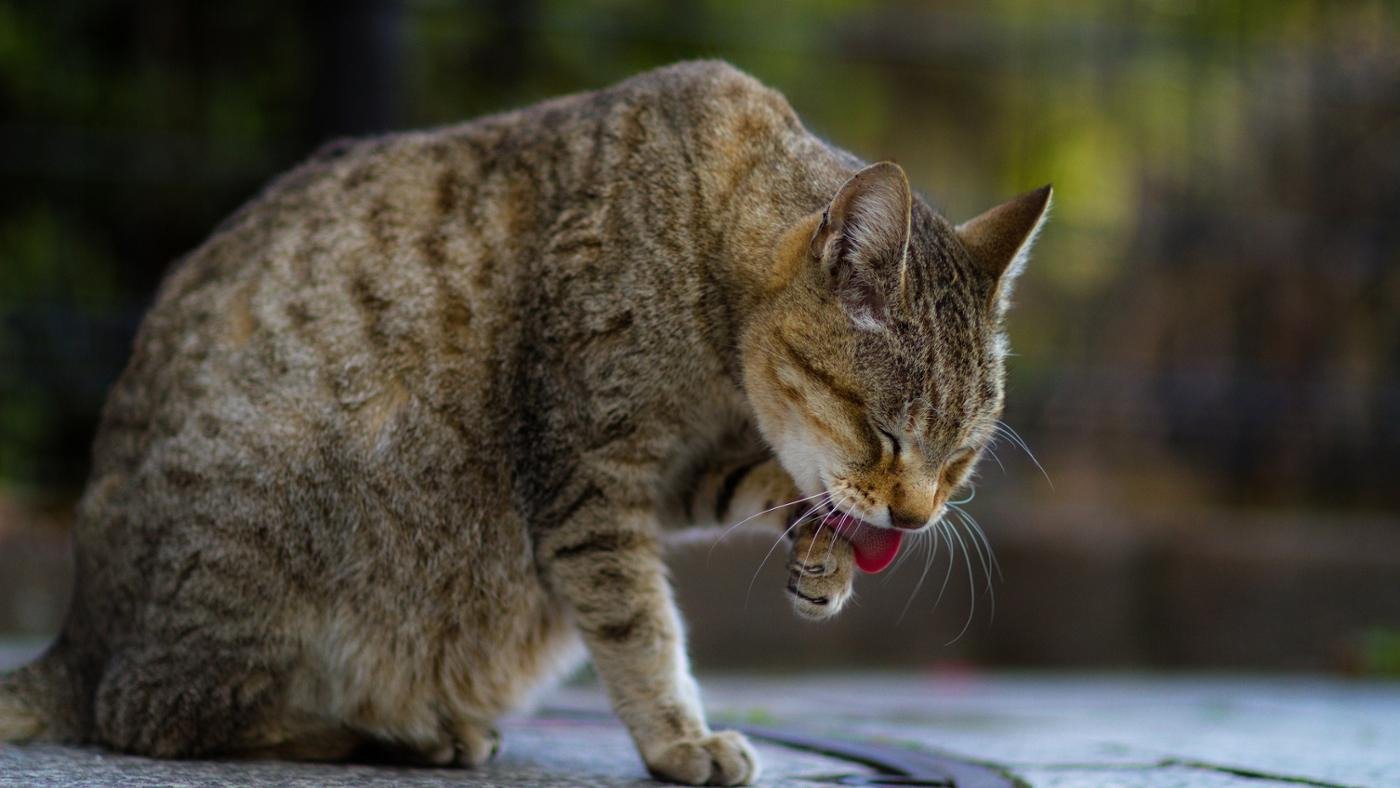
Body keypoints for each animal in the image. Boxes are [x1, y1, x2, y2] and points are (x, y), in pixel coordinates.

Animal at [0, 61, 1052, 783]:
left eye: (961, 461)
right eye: (885, 433)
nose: (916, 518)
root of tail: (76, 641)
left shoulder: (663, 475)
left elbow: (761, 484)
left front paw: (820, 549)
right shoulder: (587, 477)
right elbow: (640, 626)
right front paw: (679, 737)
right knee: (155, 716)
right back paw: (404, 732)